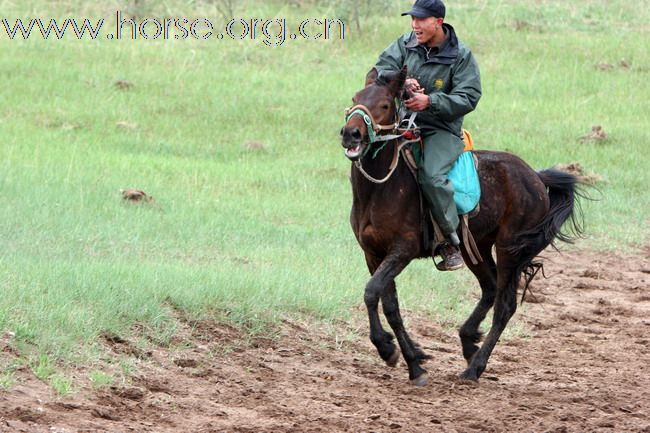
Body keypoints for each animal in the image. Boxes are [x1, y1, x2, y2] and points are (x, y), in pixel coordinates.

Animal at [340, 66, 584, 384]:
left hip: (510, 248)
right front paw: (413, 361)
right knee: (490, 288)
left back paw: (474, 367)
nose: (350, 133)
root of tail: (536, 178)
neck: (382, 188)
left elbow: (371, 292)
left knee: (505, 305)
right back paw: (468, 340)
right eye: (355, 98)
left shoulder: (402, 250)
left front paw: (387, 348)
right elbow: (388, 303)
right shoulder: (373, 254)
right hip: (475, 247)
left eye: (383, 105)